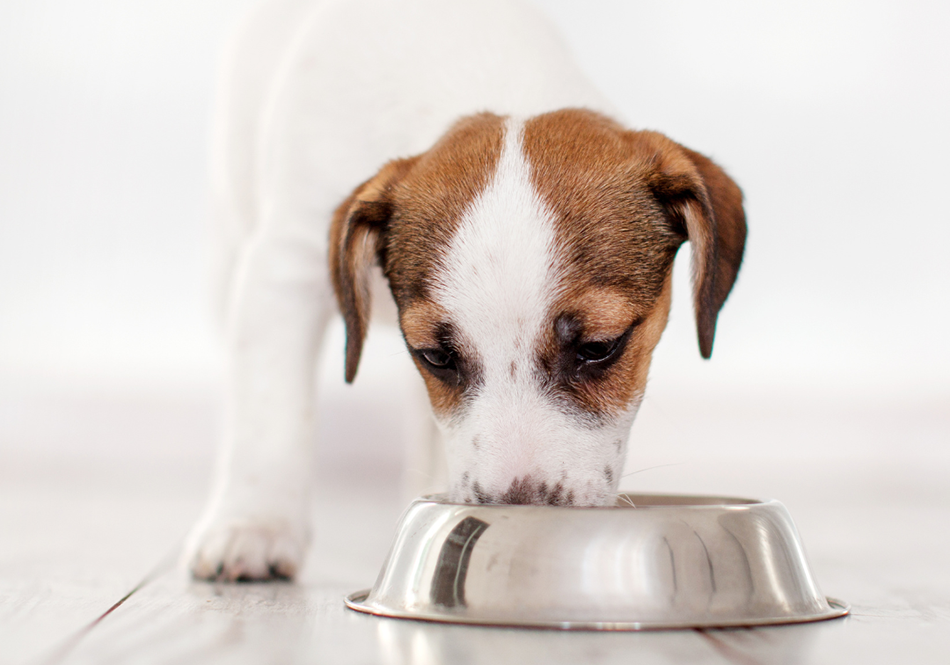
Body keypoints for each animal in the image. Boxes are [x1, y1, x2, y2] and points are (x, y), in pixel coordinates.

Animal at [188, 0, 752, 580]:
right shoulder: (286, 267)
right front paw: (254, 523)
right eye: (436, 356)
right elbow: (270, 412)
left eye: (600, 347)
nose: (521, 514)